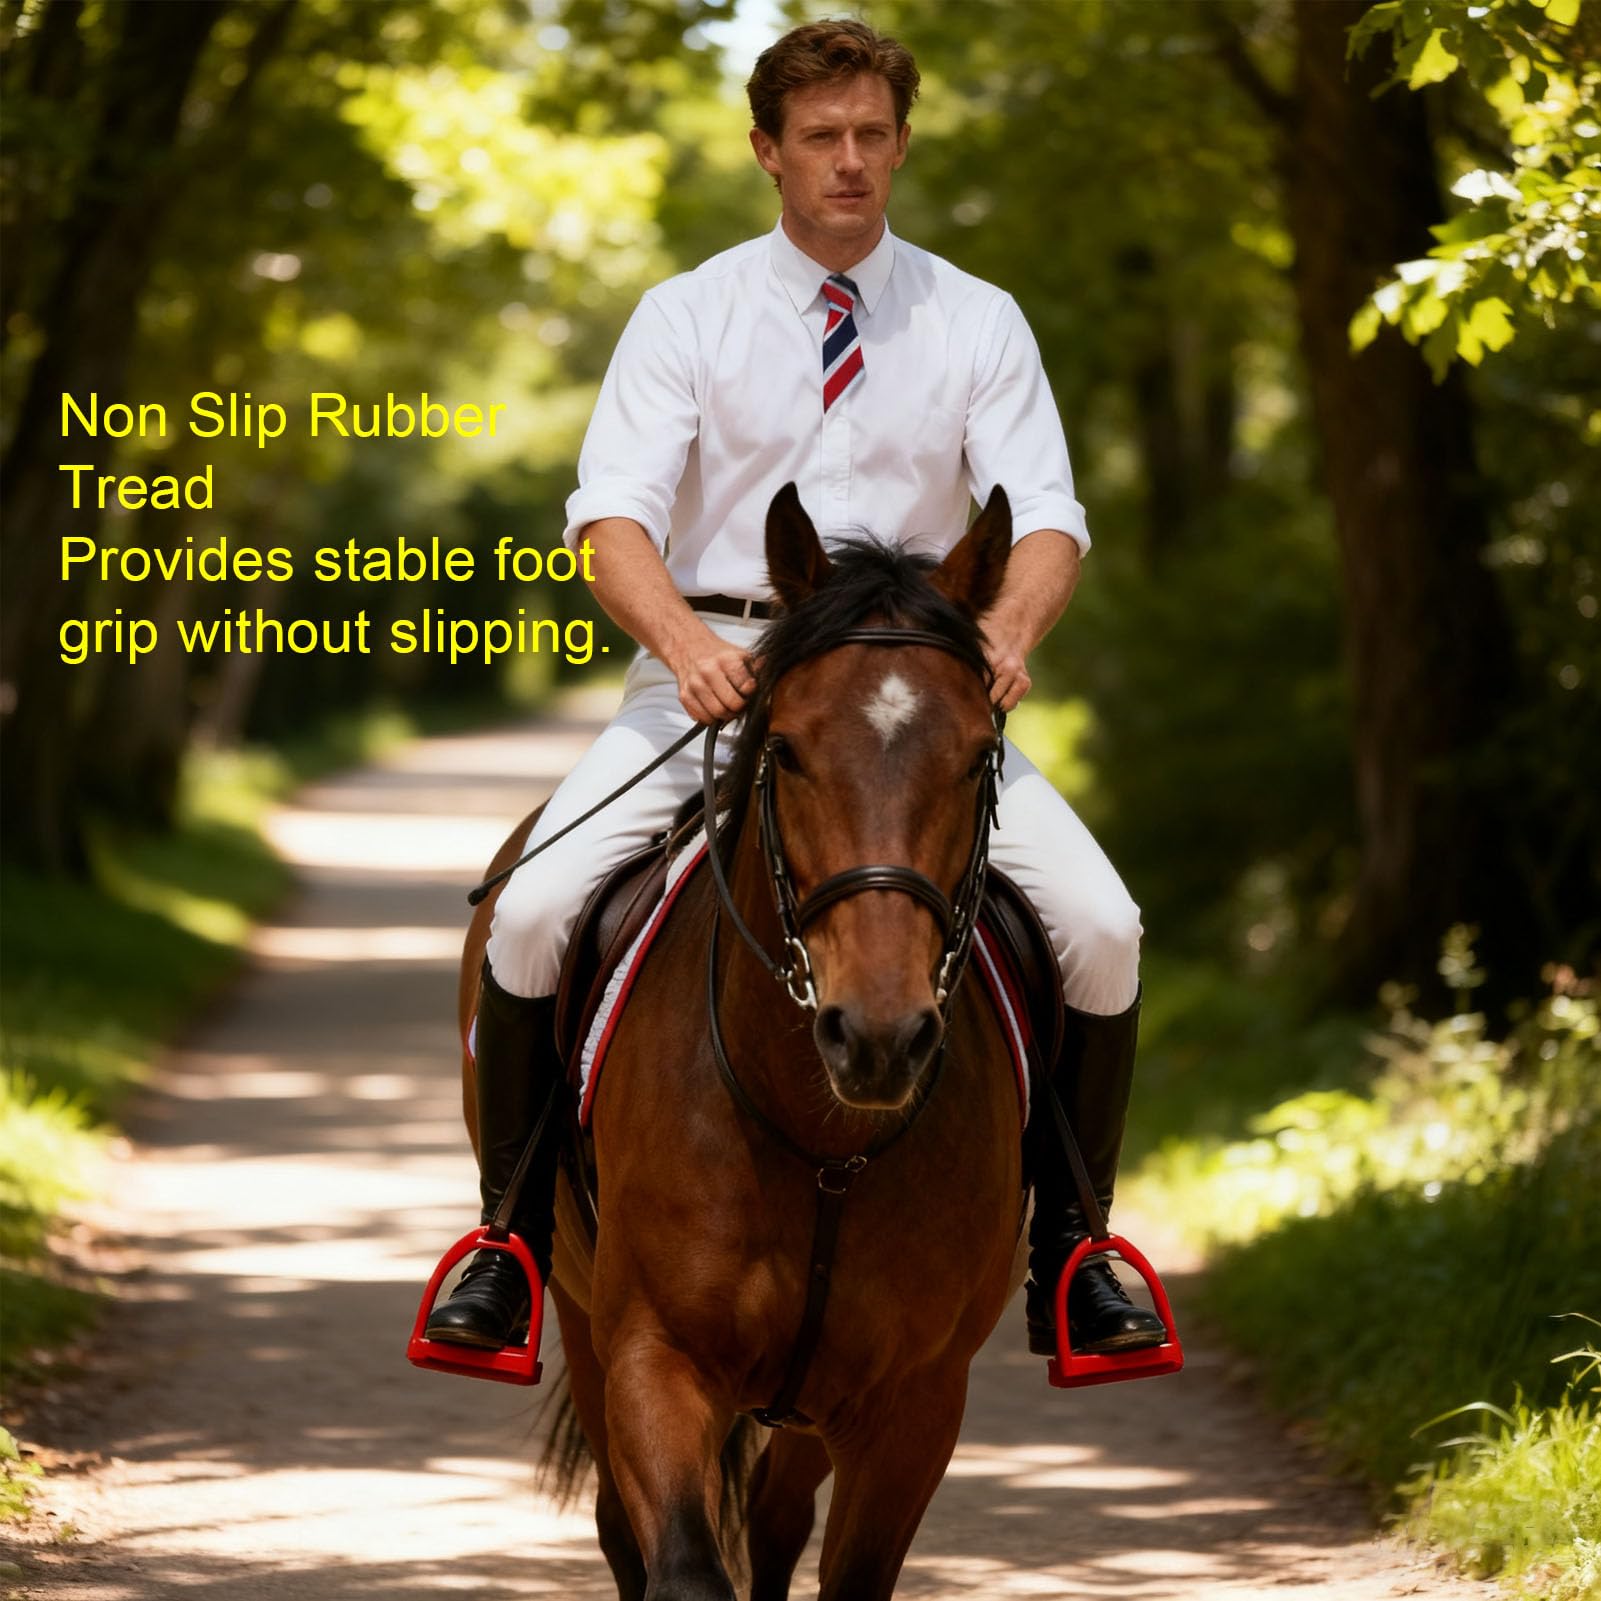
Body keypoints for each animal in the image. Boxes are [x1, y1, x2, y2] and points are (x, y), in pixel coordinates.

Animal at [459, 485, 1026, 1599]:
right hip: (583, 1317)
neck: (825, 1140)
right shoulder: (654, 1358)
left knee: (771, 1518)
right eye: (789, 749)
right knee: (623, 1527)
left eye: (978, 754)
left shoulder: (913, 1404)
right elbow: (679, 1563)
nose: (878, 1037)